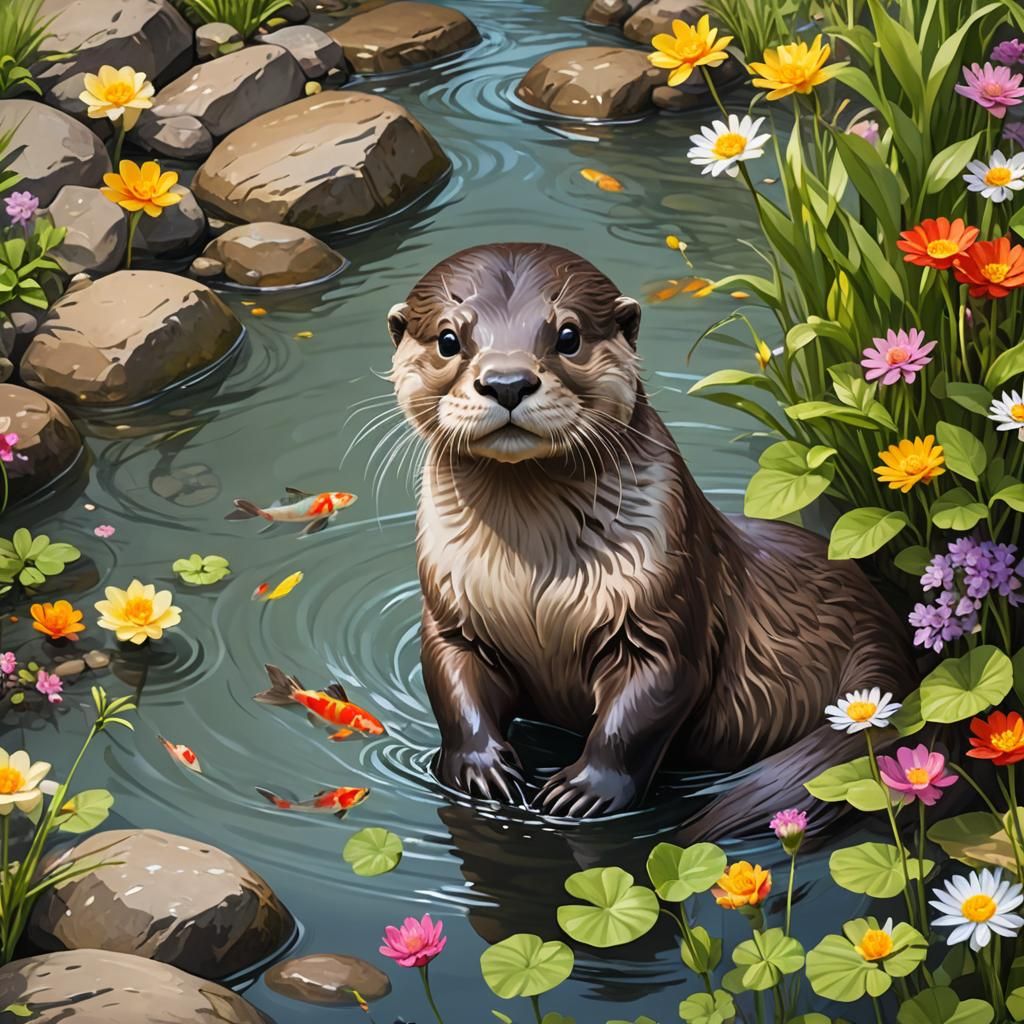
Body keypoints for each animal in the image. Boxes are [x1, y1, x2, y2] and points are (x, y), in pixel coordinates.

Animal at [387, 242, 916, 834]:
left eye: (567, 335)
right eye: (448, 340)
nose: (507, 383)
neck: (530, 581)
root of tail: (889, 634)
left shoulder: (666, 606)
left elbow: (646, 705)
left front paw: (583, 791)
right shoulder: (451, 609)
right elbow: (451, 682)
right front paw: (480, 769)